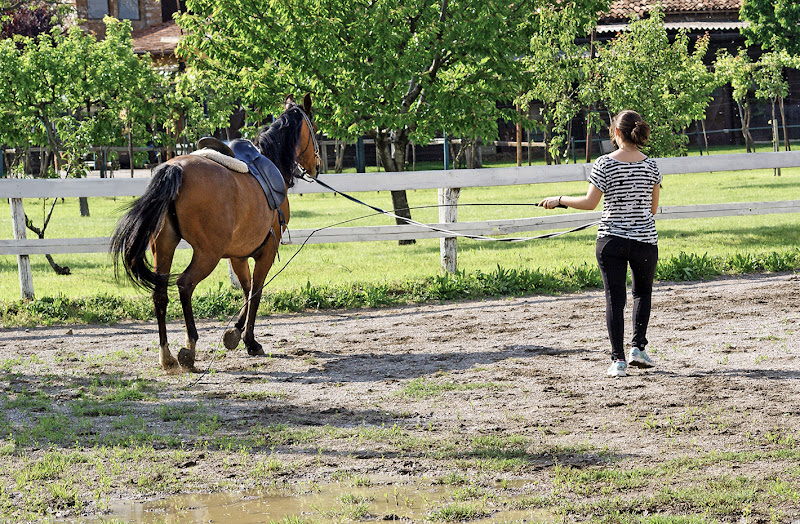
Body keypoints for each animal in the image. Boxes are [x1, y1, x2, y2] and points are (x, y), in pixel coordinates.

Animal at [110, 94, 322, 372]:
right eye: (314, 129)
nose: (317, 166)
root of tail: (175, 169)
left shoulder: (238, 255)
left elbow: (246, 289)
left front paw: (235, 332)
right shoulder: (266, 250)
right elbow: (256, 291)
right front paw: (250, 341)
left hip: (164, 247)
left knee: (160, 294)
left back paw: (166, 355)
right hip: (207, 254)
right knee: (184, 284)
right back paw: (189, 348)